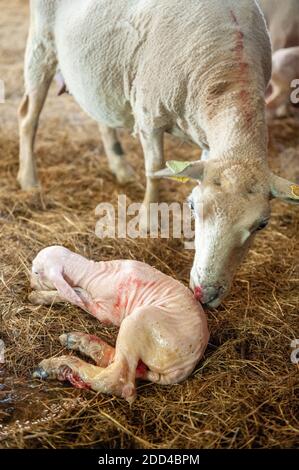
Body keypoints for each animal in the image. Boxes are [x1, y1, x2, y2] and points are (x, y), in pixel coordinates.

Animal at [29, 244, 210, 402]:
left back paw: (55, 366)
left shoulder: (106, 312)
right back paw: (79, 341)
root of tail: (184, 368)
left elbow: (78, 297)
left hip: (139, 320)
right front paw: (37, 296)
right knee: (121, 363)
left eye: (36, 272)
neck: (92, 272)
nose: (30, 283)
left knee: (118, 380)